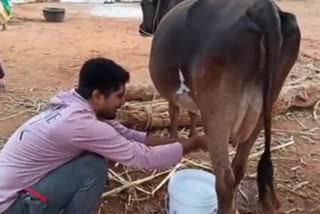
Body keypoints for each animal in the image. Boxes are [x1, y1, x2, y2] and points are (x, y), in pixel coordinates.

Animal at [139, 0, 302, 213]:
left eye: (144, 4)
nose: (142, 28)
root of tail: (264, 7)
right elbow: (191, 113)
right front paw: (191, 136)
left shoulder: (174, 94)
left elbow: (174, 112)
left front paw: (175, 139)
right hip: (268, 103)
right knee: (238, 167)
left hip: (218, 110)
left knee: (224, 180)